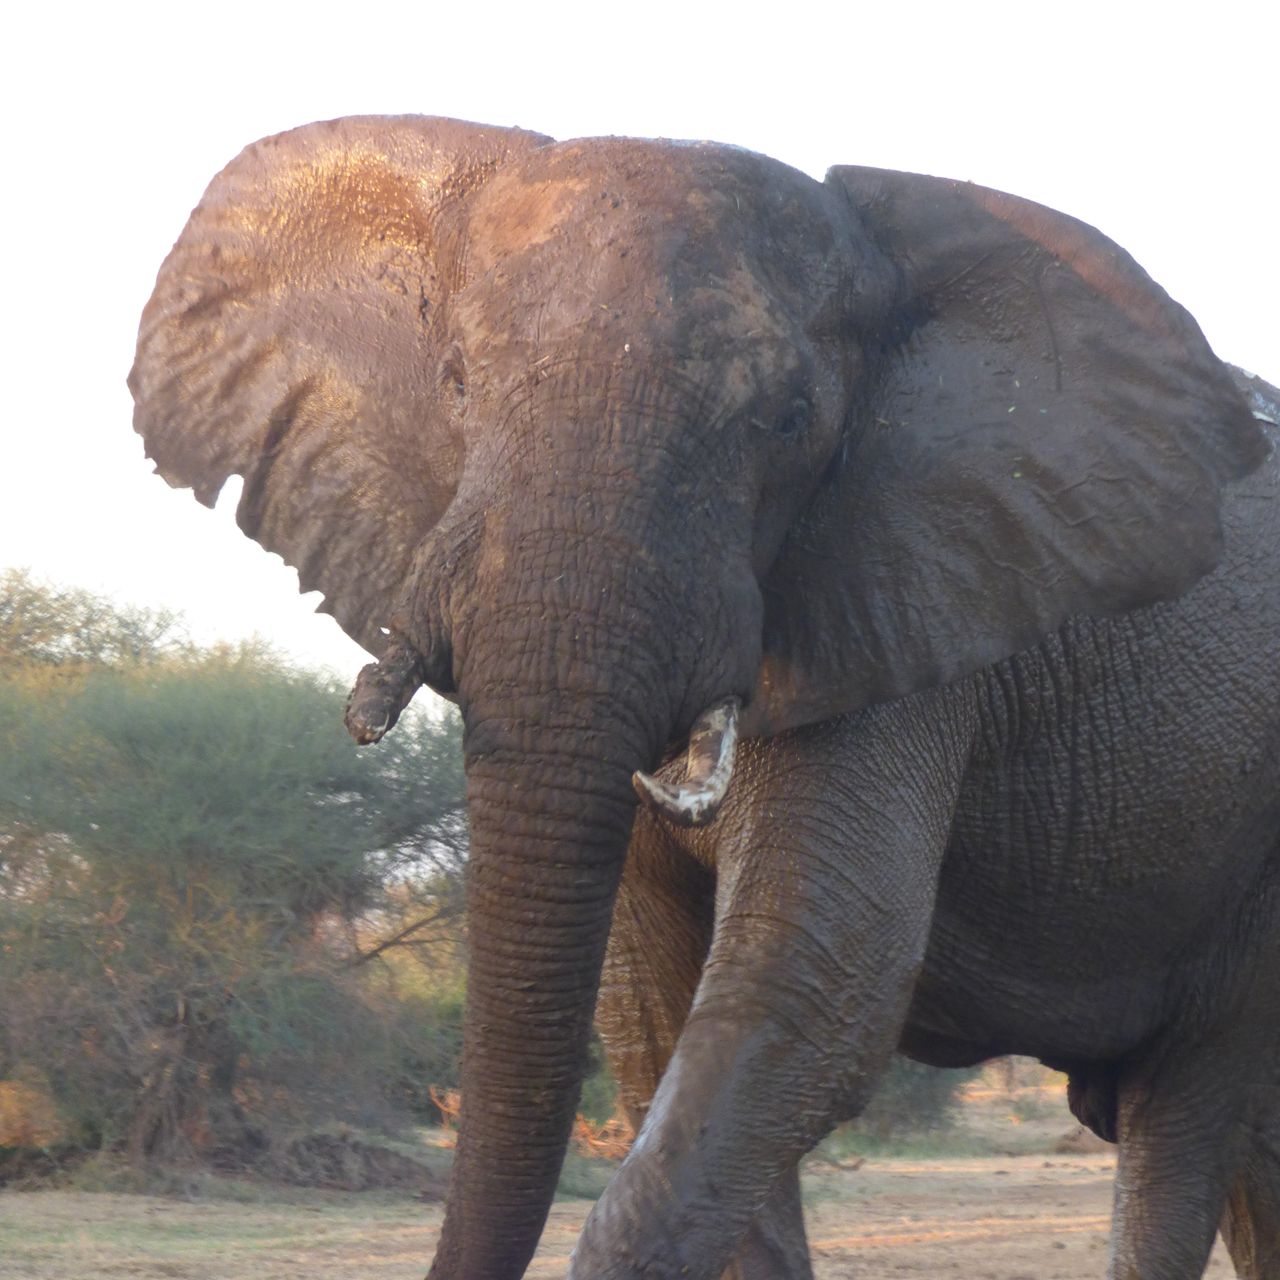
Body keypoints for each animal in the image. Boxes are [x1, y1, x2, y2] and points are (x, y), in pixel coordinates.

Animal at [128, 115, 1280, 1280]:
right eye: (454, 383)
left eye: (790, 419)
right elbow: (650, 999)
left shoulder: (908, 598)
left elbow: (809, 981)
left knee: (1184, 1115)